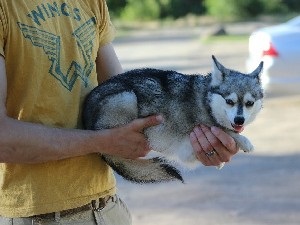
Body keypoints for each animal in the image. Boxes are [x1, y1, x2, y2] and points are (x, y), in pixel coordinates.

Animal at [82, 55, 262, 184]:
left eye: (249, 103)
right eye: (229, 101)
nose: (239, 120)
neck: (206, 99)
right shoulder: (199, 130)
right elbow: (223, 129)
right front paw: (243, 140)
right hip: (127, 98)